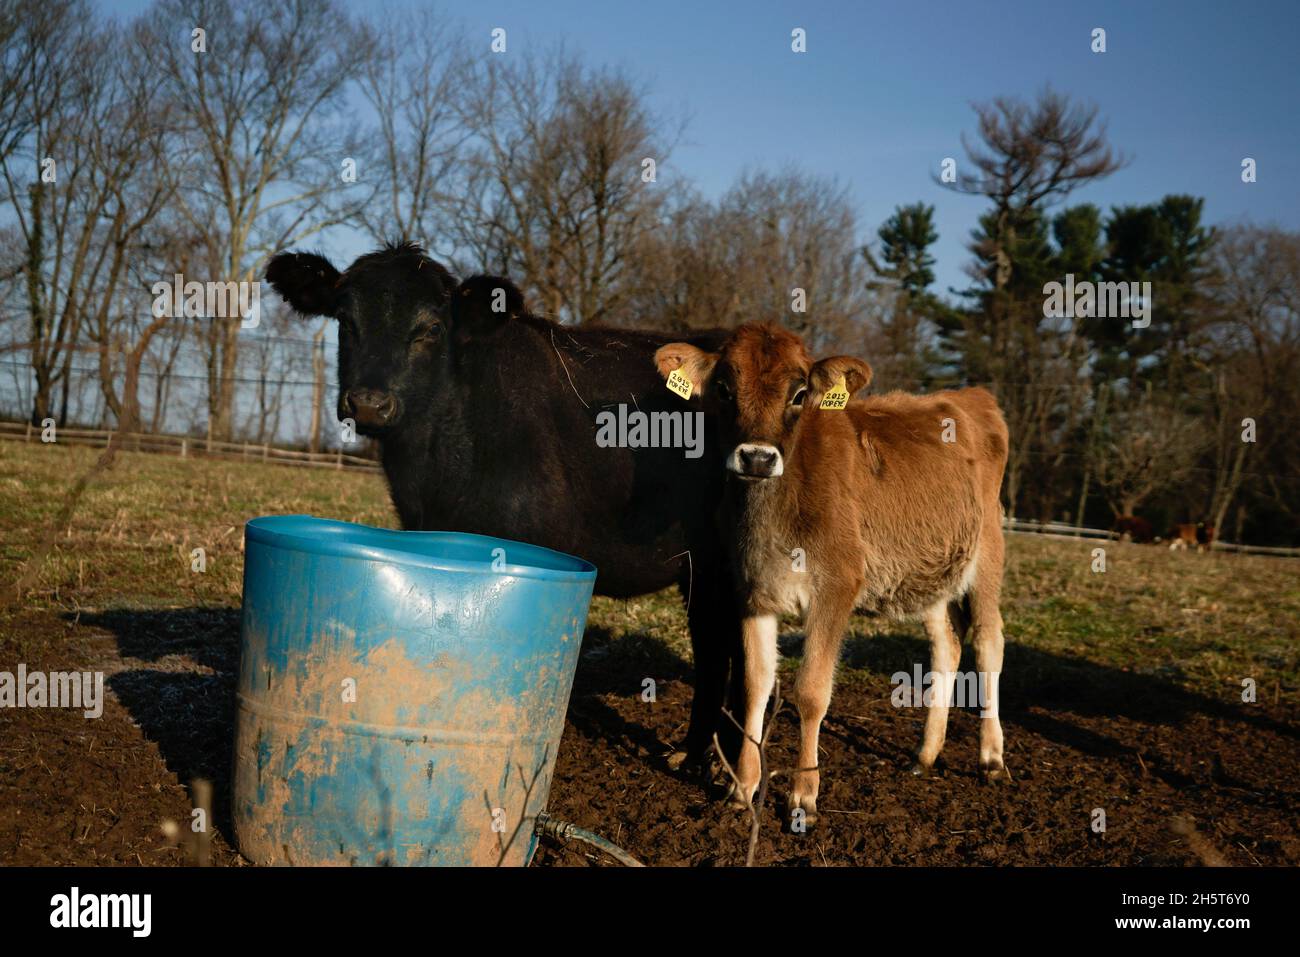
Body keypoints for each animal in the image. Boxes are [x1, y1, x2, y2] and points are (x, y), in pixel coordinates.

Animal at [655, 323, 1008, 821]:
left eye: (800, 392)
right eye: (723, 388)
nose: (757, 458)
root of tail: (970, 396)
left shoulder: (837, 587)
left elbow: (811, 691)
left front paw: (804, 795)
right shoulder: (752, 590)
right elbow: (755, 685)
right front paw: (742, 787)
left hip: (987, 553)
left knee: (988, 642)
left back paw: (992, 758)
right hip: (930, 570)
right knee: (948, 644)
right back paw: (925, 754)